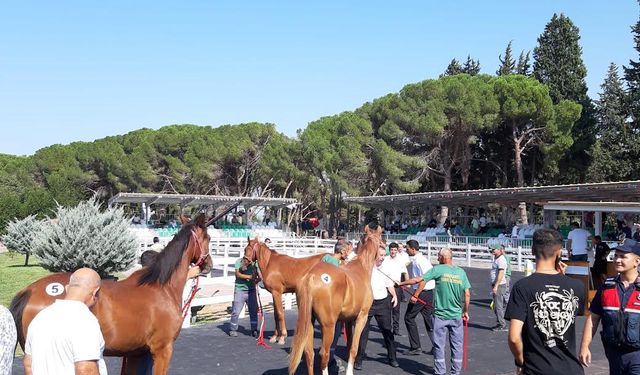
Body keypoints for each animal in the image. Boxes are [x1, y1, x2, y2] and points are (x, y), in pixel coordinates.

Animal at [9, 214, 215, 375]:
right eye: (208, 237)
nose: (209, 265)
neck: (162, 287)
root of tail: (28, 291)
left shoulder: (136, 354)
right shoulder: (162, 350)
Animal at [288, 225, 380, 375]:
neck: (361, 267)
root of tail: (311, 276)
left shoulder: (347, 320)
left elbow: (349, 346)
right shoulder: (362, 317)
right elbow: (354, 348)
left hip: (309, 322)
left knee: (309, 353)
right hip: (328, 326)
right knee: (323, 354)